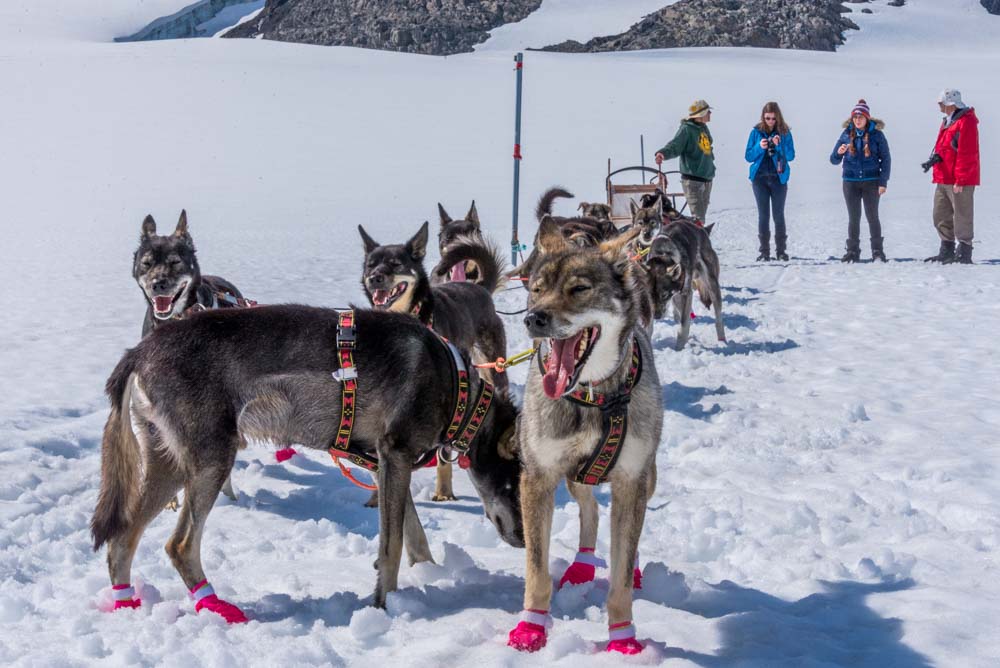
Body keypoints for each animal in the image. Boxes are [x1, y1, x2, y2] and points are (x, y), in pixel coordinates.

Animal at [91, 306, 524, 620]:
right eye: (517, 488)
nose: (523, 539)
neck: (458, 390)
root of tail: (139, 352)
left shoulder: (382, 462)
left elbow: (413, 534)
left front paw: (428, 574)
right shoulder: (395, 454)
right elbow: (392, 545)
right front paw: (382, 606)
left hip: (169, 465)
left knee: (121, 539)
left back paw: (126, 605)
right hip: (212, 460)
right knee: (179, 545)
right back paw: (218, 607)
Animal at [358, 224, 508, 500]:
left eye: (396, 263)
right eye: (371, 265)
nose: (374, 278)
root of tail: (480, 288)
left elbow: (442, 454)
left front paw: (444, 492)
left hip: (494, 363)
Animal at [504, 218, 660, 652]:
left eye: (578, 289)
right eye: (537, 288)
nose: (534, 318)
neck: (593, 395)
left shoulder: (631, 479)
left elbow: (621, 575)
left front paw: (623, 638)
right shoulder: (537, 477)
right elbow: (537, 570)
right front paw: (532, 627)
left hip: (646, 477)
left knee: (628, 531)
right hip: (575, 475)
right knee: (589, 509)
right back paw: (583, 564)